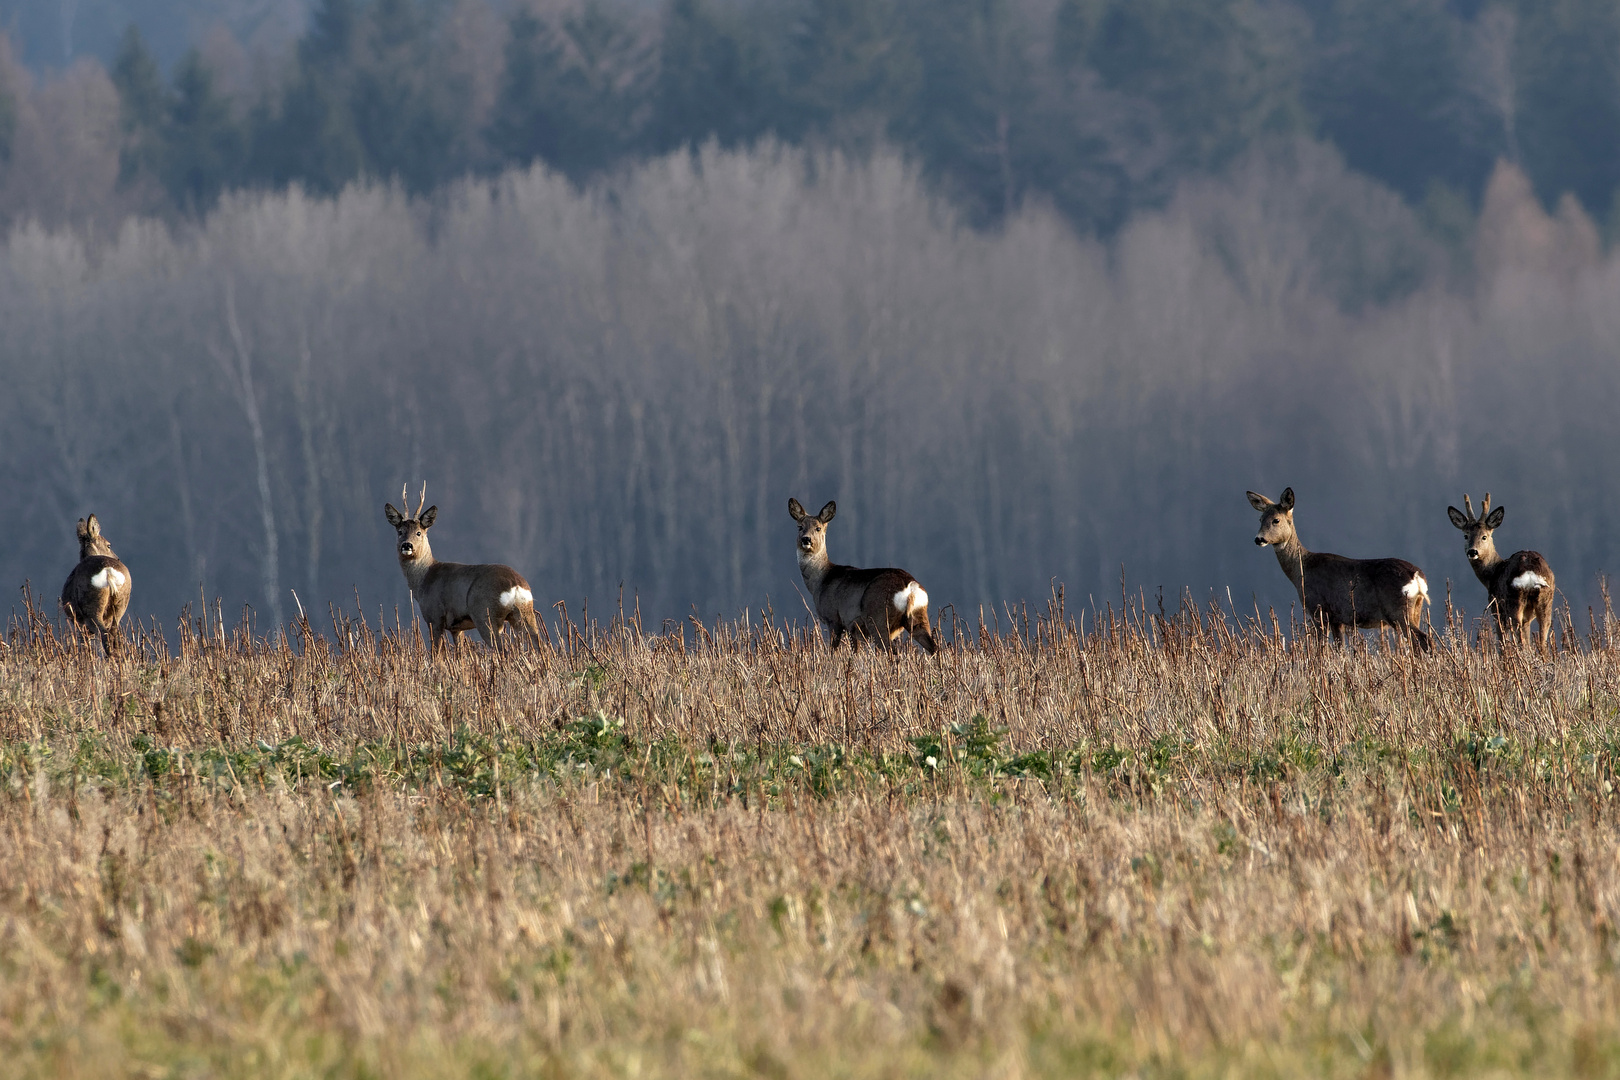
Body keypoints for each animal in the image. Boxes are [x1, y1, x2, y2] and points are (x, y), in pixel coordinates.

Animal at [60, 514, 131, 654]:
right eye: (109, 546)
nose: (118, 558)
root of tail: (108, 570)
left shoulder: (80, 624)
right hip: (121, 604)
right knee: (114, 637)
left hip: (91, 608)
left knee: (105, 635)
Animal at [382, 485, 547, 654]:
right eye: (400, 532)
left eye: (419, 532)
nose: (407, 545)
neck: (424, 578)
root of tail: (515, 585)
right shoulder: (456, 627)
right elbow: (459, 653)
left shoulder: (435, 617)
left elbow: (436, 654)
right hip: (524, 613)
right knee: (540, 646)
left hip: (485, 615)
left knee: (503, 650)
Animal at [787, 501, 939, 660]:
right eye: (800, 526)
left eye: (818, 528)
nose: (806, 539)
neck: (820, 580)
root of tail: (909, 587)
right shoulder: (853, 627)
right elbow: (855, 652)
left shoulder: (834, 618)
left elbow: (832, 651)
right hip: (919, 617)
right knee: (935, 648)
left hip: (878, 617)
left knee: (892, 651)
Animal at [1244, 488, 1438, 650]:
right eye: (1260, 519)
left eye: (1276, 520)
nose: (1259, 539)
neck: (1301, 571)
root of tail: (1416, 577)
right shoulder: (1338, 619)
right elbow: (1340, 649)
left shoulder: (1318, 609)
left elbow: (1321, 648)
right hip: (1416, 608)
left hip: (1398, 610)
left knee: (1424, 640)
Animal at [1445, 495, 1555, 647]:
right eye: (1466, 535)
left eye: (1484, 536)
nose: (1472, 552)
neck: (1492, 574)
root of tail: (1531, 574)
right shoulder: (1527, 618)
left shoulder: (1496, 609)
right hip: (1546, 601)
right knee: (1542, 639)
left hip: (1513, 601)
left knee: (1519, 638)